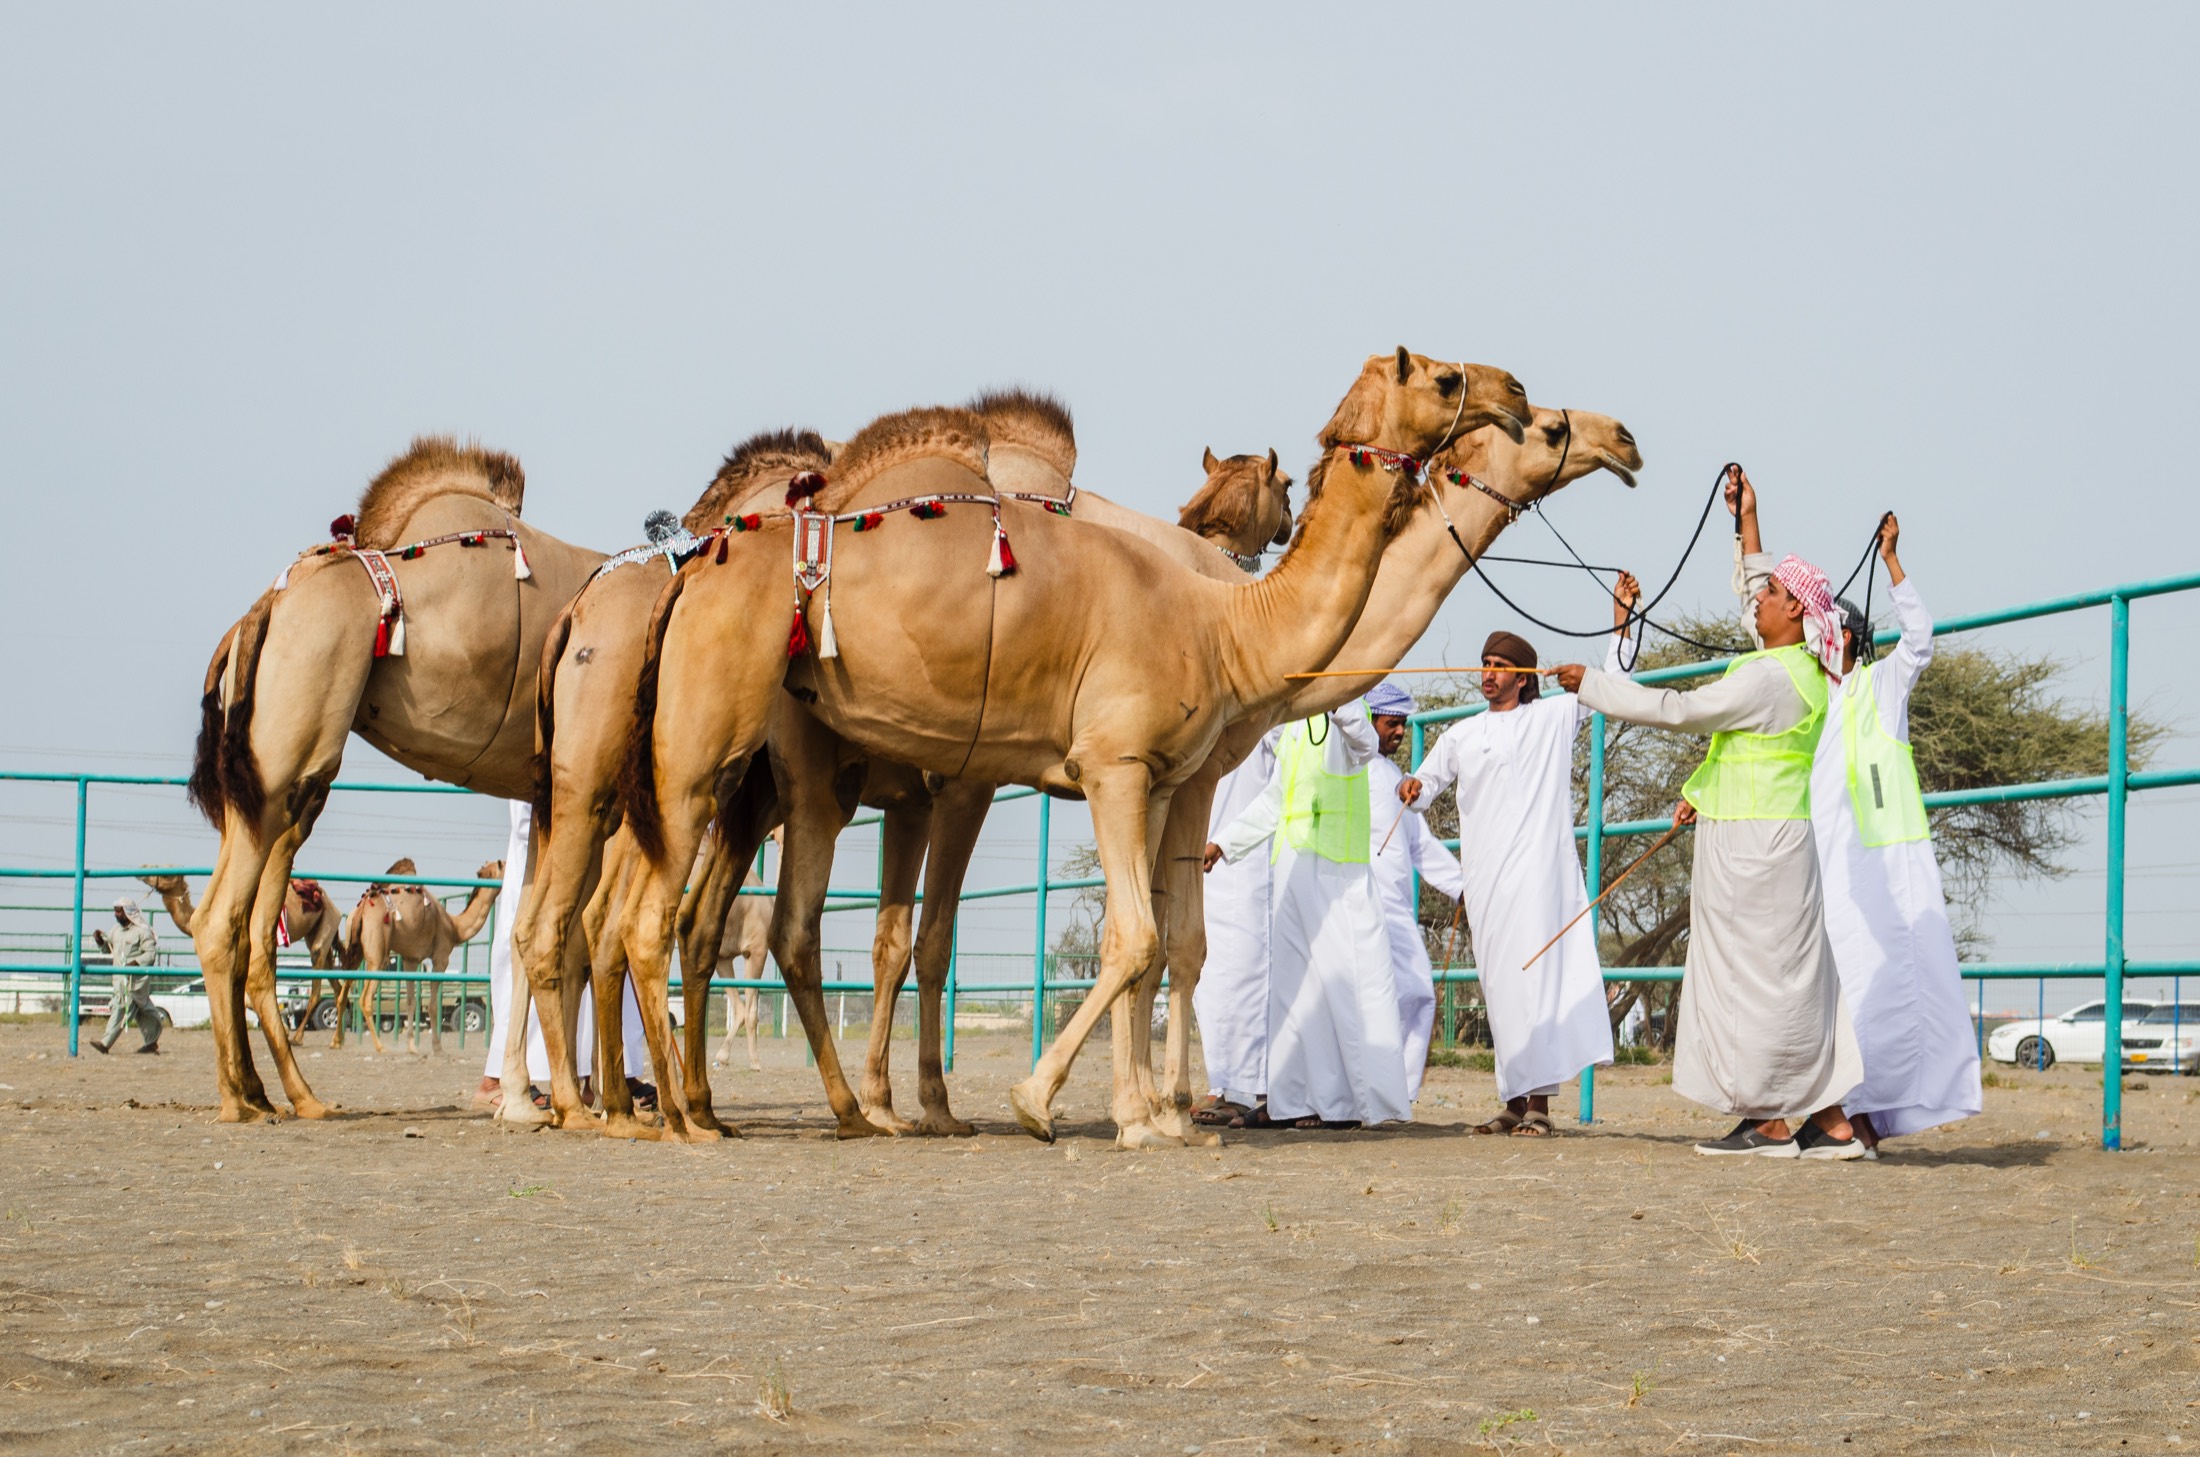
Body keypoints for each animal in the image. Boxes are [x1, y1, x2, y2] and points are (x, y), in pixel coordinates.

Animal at [343, 858, 503, 1054]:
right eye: (503, 866)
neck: (455, 927)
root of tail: (362, 909)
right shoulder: (441, 957)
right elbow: (433, 1005)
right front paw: (438, 1047)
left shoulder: (410, 960)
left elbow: (411, 1001)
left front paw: (412, 1047)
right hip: (377, 955)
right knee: (365, 999)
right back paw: (380, 1047)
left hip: (354, 949)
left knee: (343, 992)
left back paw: (337, 1042)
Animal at [613, 350, 1530, 1144]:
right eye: (1446, 379)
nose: (1524, 398)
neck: (1224, 618)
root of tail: (694, 555)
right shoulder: (1083, 771)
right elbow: (1128, 940)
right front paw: (1072, 1104)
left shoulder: (1117, 780)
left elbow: (1129, 943)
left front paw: (1138, 1110)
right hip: (730, 757)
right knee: (669, 917)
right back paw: (687, 1110)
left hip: (750, 778)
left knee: (700, 920)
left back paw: (712, 1101)